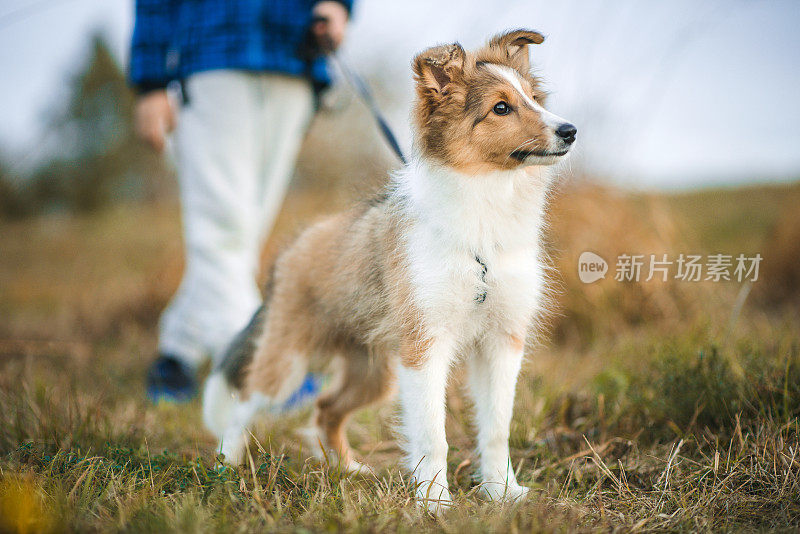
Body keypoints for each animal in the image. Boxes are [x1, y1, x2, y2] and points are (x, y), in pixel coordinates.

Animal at [200, 29, 576, 516]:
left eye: (534, 98)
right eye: (500, 108)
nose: (570, 131)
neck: (482, 226)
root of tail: (293, 249)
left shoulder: (501, 341)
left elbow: (496, 429)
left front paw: (502, 494)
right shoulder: (424, 346)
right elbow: (433, 436)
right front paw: (435, 503)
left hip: (374, 371)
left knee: (326, 408)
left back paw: (348, 471)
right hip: (289, 360)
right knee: (245, 403)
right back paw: (225, 469)